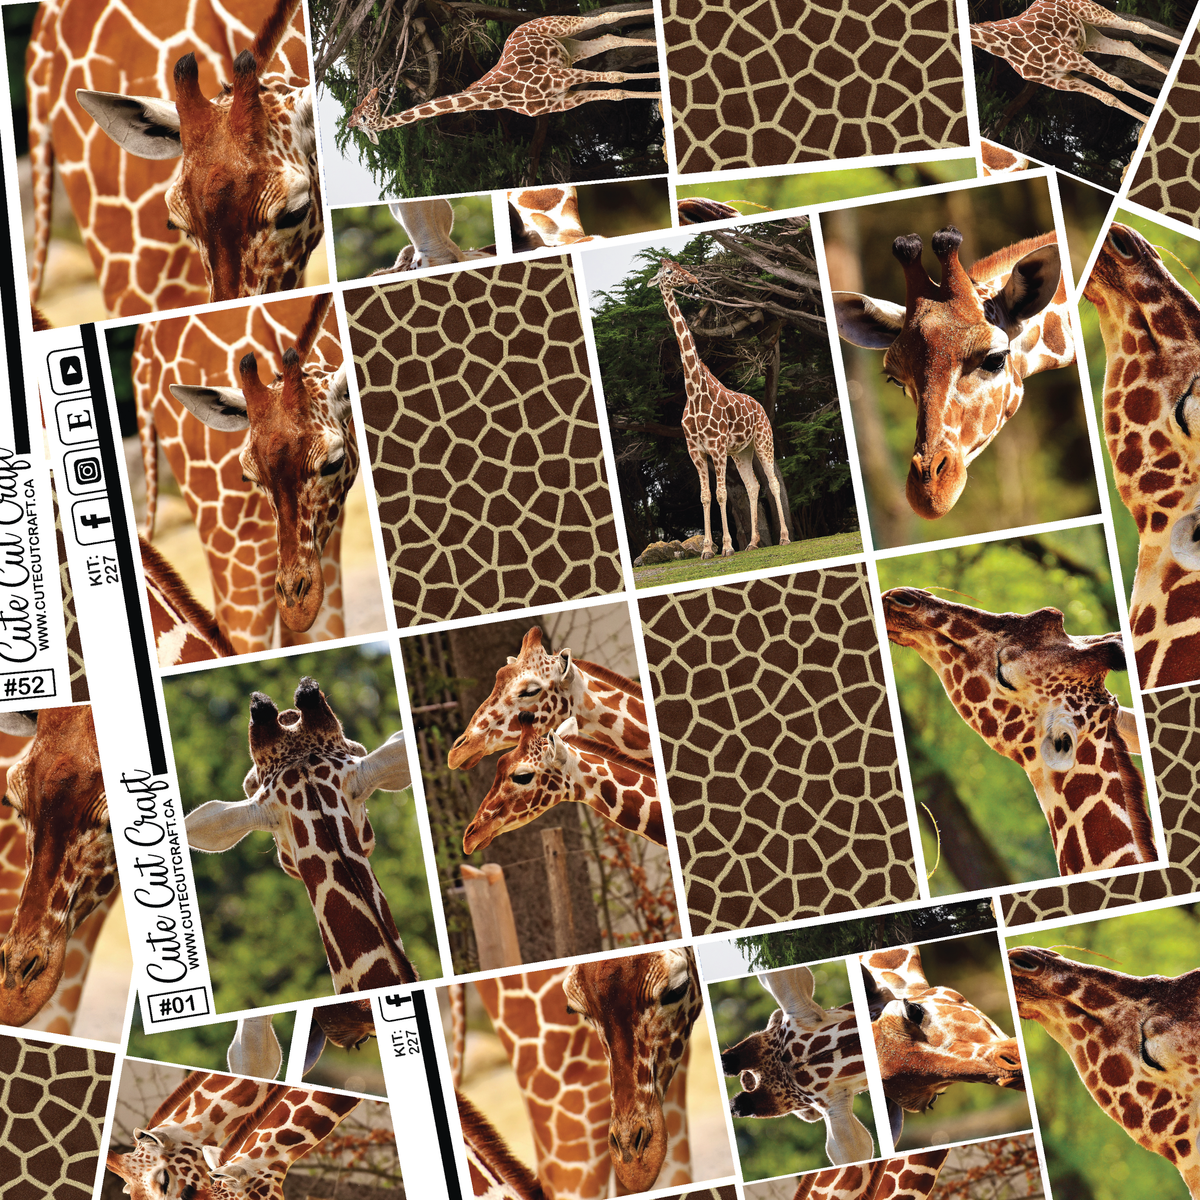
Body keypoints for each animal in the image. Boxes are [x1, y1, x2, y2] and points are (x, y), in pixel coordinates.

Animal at [345, 9, 660, 140]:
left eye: (364, 113)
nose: (374, 91)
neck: (499, 98)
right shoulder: (564, 99)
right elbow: (616, 90)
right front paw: (659, 96)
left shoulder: (561, 77)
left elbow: (616, 77)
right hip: (570, 47)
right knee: (610, 38)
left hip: (561, 28)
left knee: (609, 17)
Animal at [653, 257, 791, 559]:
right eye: (668, 271)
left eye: (679, 266)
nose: (692, 278)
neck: (694, 391)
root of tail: (761, 407)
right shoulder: (696, 451)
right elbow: (706, 496)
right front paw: (707, 549)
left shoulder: (716, 447)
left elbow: (721, 494)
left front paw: (726, 547)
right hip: (741, 451)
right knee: (753, 486)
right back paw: (752, 543)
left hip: (763, 440)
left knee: (773, 482)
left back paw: (784, 538)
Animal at [970, 0, 1181, 124]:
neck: (1006, 47)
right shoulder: (1061, 81)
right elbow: (1108, 98)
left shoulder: (1070, 57)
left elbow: (1116, 82)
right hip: (1089, 35)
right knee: (1129, 47)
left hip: (1091, 13)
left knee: (1138, 27)